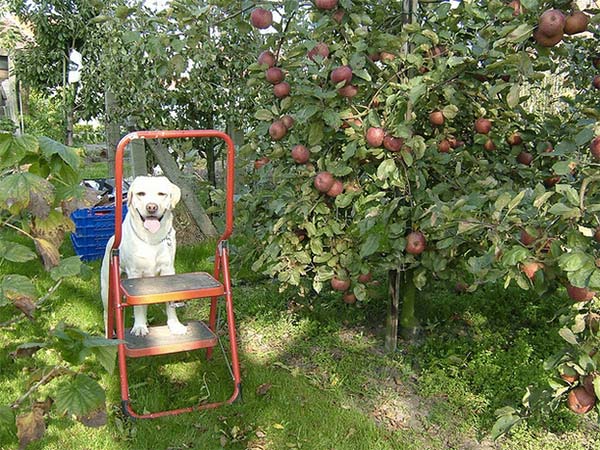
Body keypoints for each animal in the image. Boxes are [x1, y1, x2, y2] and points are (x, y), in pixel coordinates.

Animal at [99, 176, 188, 338]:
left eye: (161, 194)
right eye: (141, 194)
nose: (151, 207)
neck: (151, 238)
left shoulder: (168, 270)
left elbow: (170, 301)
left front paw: (174, 325)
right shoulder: (135, 273)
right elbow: (138, 306)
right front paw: (139, 327)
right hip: (107, 289)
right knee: (107, 313)